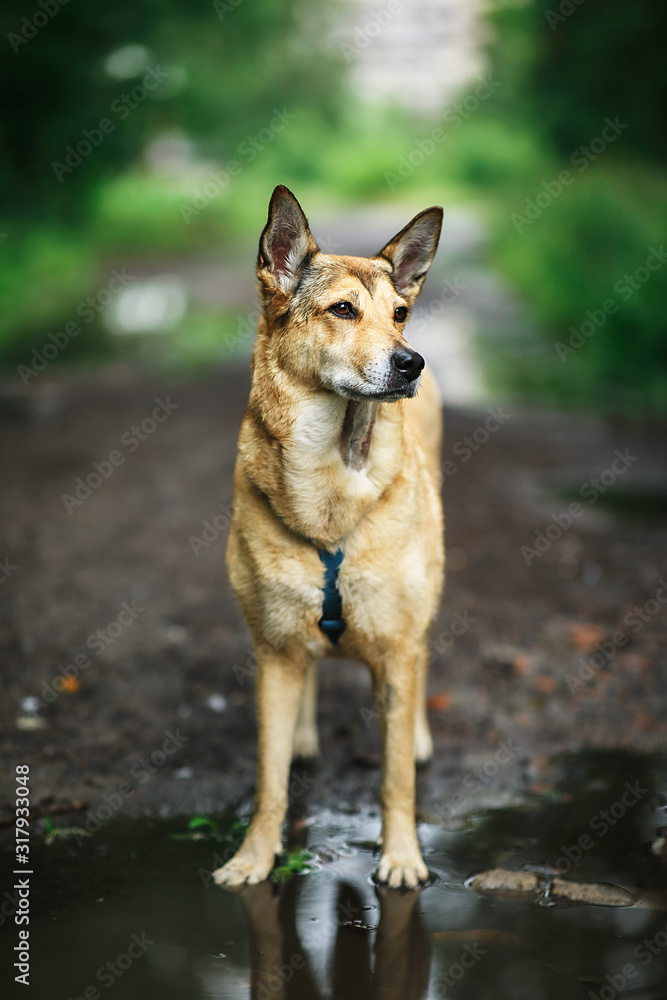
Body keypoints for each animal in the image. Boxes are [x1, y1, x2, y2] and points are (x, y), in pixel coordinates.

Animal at [214, 188, 444, 892]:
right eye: (343, 309)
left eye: (400, 314)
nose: (411, 360)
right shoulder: (273, 652)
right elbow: (269, 781)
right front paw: (254, 858)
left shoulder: (396, 648)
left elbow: (395, 780)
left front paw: (403, 858)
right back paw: (304, 733)